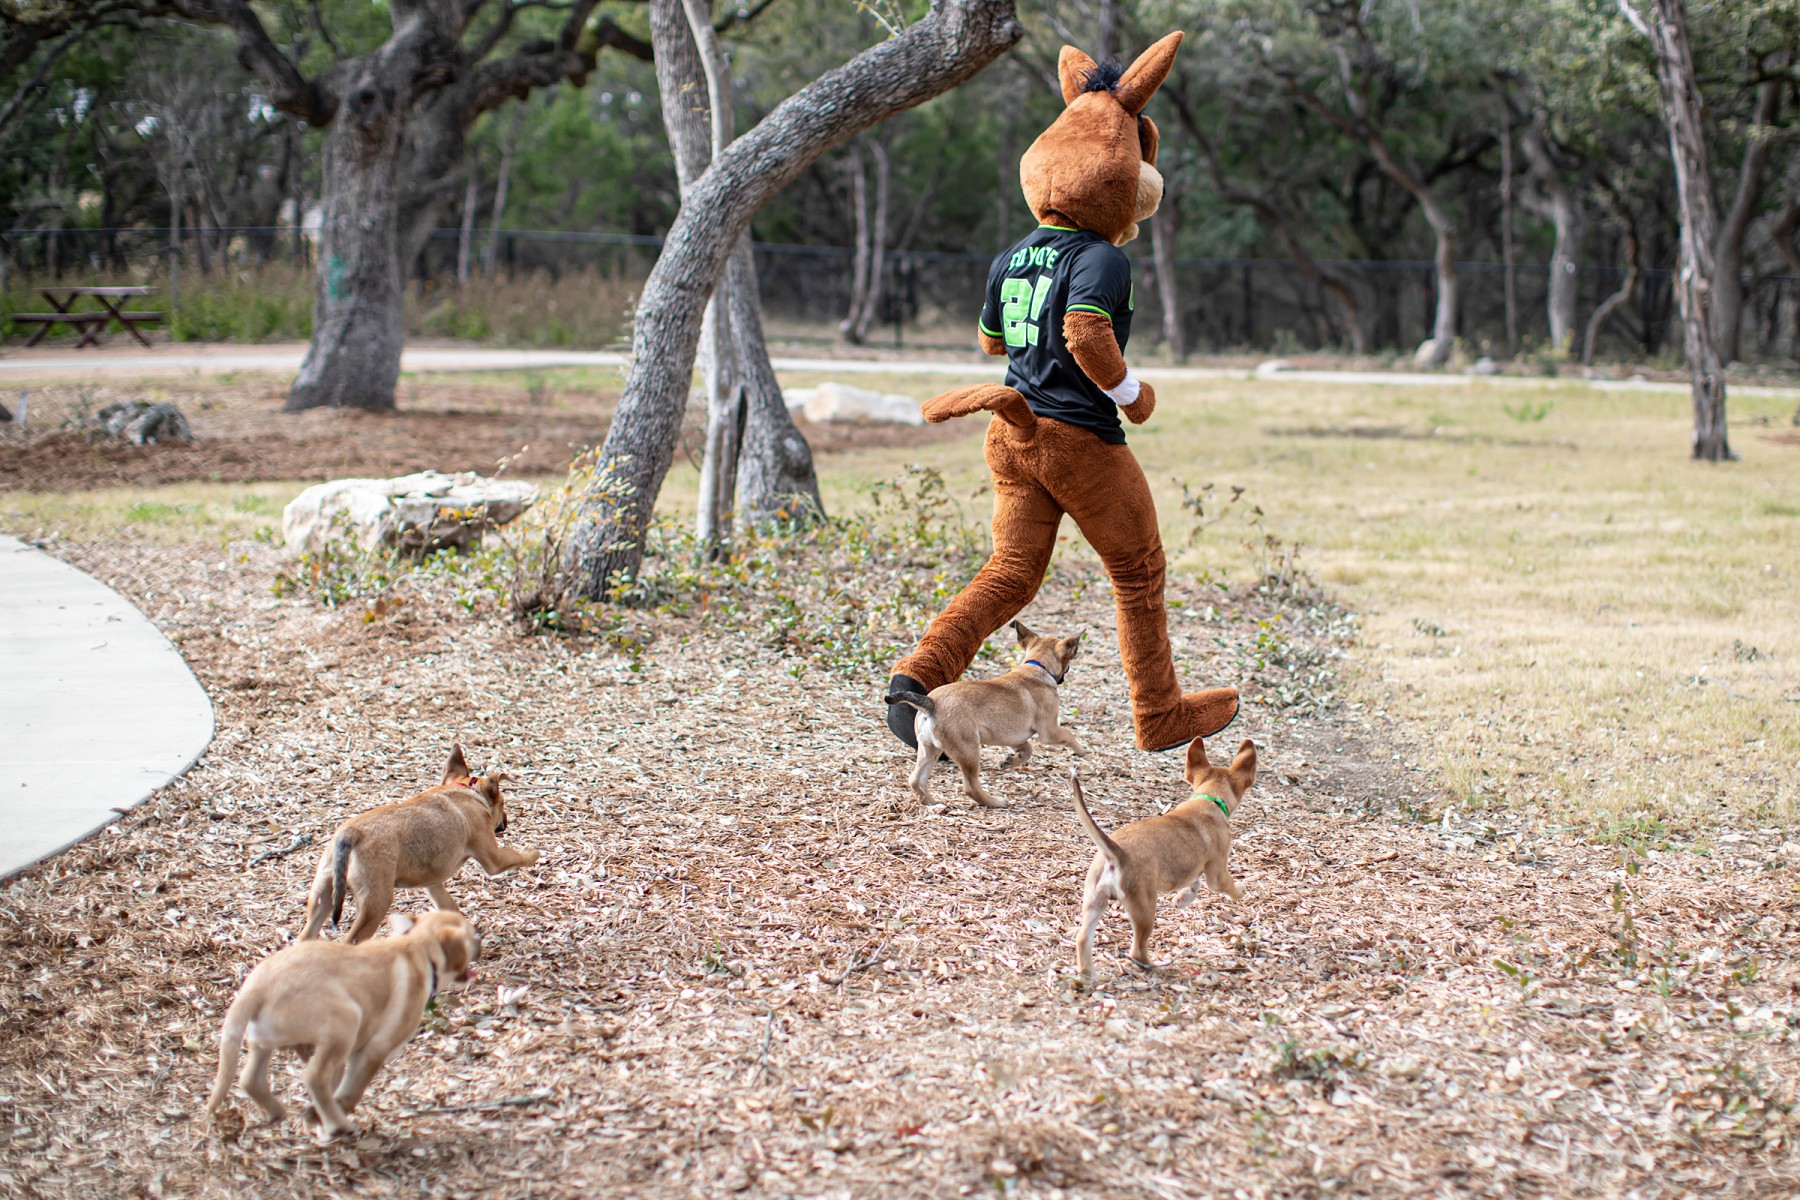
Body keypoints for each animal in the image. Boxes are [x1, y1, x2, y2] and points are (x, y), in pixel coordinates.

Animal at [206, 909, 479, 1142]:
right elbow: (352, 1090)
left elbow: (336, 1086)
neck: (419, 948)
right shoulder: (374, 1050)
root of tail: (256, 989)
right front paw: (332, 1113)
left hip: (263, 1042)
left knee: (250, 1079)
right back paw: (339, 1126)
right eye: (469, 934)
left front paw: (316, 1115)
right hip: (347, 1020)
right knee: (314, 1077)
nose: (480, 940)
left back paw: (276, 1111)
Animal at [299, 745, 539, 943]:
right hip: (375, 902)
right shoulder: (493, 859)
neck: (468, 791)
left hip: (322, 896)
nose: (506, 820)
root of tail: (351, 833)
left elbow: (450, 907)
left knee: (306, 937)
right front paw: (533, 853)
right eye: (503, 803)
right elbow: (517, 856)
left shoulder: (433, 885)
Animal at [885, 620, 1083, 808]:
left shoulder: (1015, 739)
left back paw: (932, 802)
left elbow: (1027, 750)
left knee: (915, 779)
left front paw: (1010, 761)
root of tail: (931, 703)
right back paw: (994, 801)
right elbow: (1068, 734)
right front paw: (1081, 750)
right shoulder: (1049, 731)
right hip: (968, 750)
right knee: (970, 786)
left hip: (929, 749)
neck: (1037, 667)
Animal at [1072, 736, 1257, 978]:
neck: (1209, 799)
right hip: (1144, 907)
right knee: (1137, 951)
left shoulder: (1191, 867)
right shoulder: (1217, 873)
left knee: (1082, 938)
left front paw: (1183, 899)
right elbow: (1227, 885)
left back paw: (1088, 975)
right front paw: (1241, 892)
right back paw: (1157, 966)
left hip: (1094, 901)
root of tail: (1116, 853)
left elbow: (1194, 884)